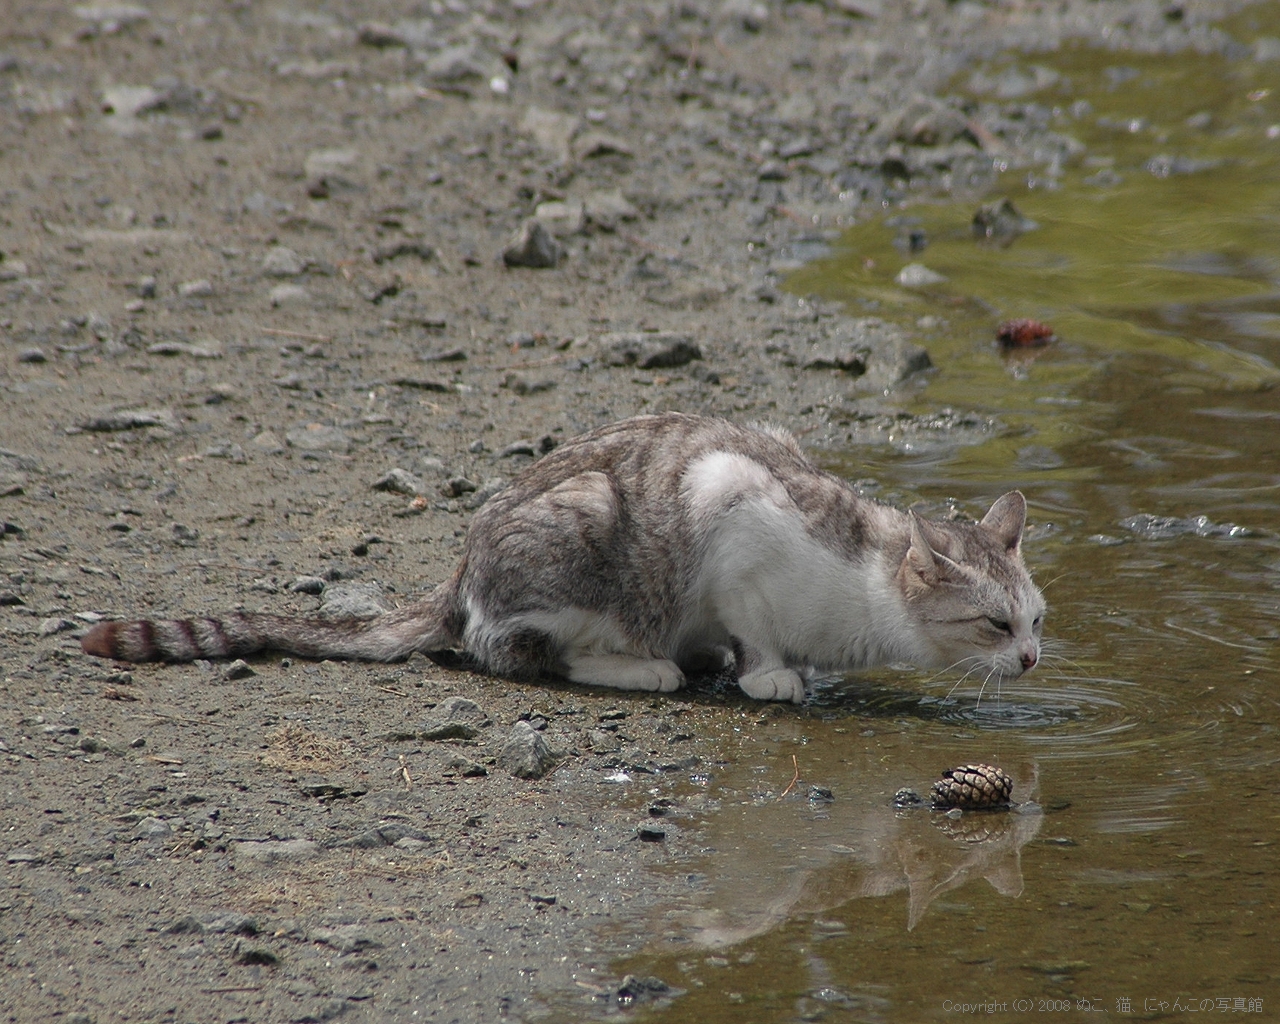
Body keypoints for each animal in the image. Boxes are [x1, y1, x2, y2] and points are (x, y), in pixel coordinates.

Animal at [80, 412, 1044, 701]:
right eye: (996, 626)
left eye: (1037, 618)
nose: (1034, 658)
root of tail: (459, 567)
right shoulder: (732, 509)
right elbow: (758, 631)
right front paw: (771, 673)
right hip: (582, 530)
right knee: (521, 651)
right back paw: (649, 666)